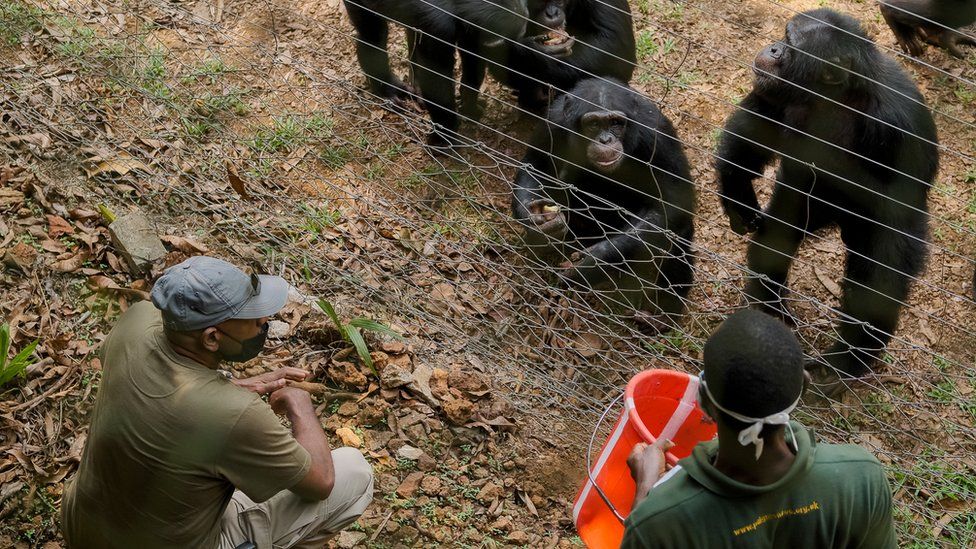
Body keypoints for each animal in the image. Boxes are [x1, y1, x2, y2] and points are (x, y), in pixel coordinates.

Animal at [510, 76, 692, 326]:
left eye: (616, 123)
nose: (606, 140)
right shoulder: (553, 122)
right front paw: (539, 221)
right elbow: (537, 163)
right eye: (594, 124)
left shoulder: (659, 134)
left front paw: (594, 262)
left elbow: (674, 201)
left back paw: (660, 317)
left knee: (678, 235)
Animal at [716, 7, 936, 386]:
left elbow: (895, 223)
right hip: (812, 205)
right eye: (785, 34)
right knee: (778, 235)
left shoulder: (896, 127)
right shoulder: (775, 93)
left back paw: (845, 361)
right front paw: (738, 194)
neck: (835, 97)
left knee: (878, 273)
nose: (773, 47)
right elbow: (757, 126)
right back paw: (770, 307)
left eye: (790, 44)